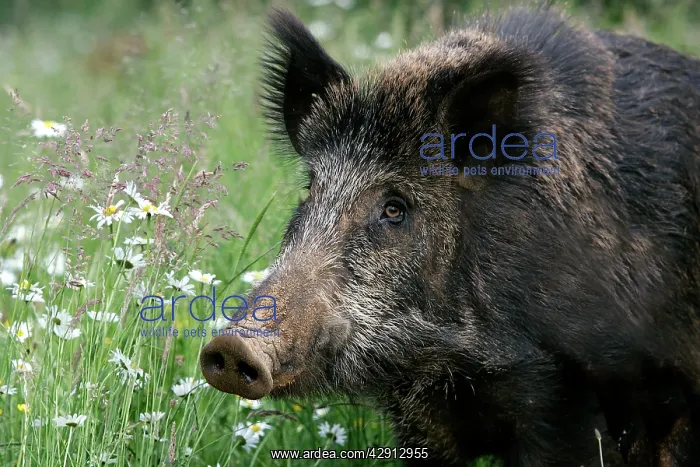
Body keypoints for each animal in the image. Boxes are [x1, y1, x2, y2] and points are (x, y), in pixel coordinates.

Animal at [200, 4, 700, 466]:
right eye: (311, 189)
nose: (231, 346)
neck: (453, 361)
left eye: (395, 208)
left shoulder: (571, 395)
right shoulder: (420, 418)